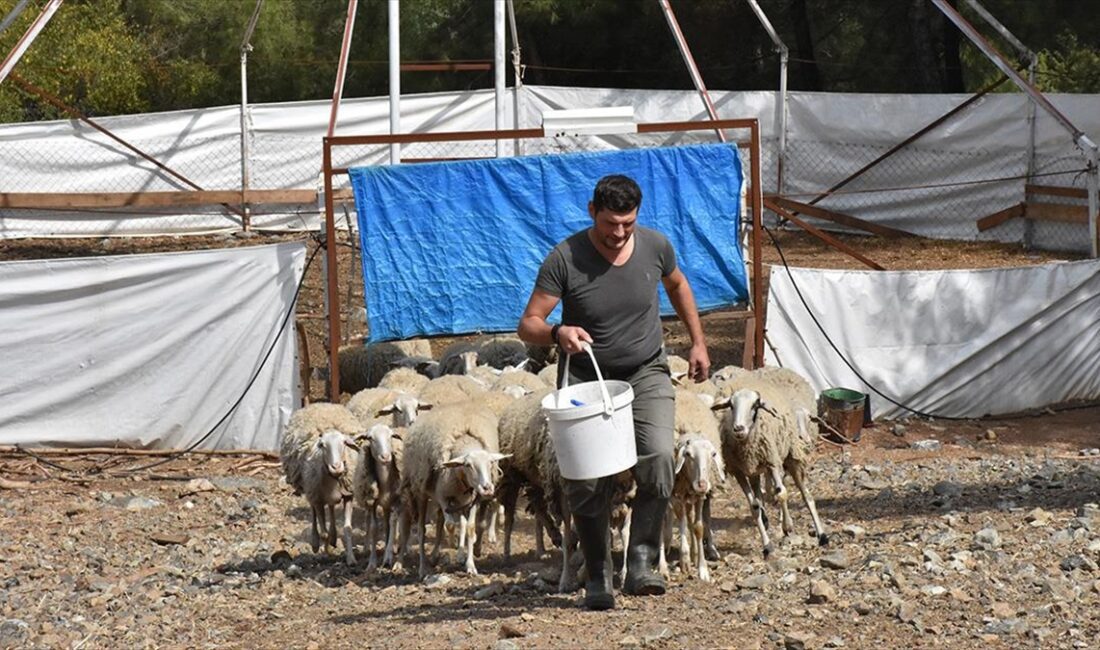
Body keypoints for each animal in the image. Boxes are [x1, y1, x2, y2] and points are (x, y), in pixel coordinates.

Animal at [277, 404, 363, 567]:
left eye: (344, 443)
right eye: (323, 445)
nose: (336, 467)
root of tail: (319, 404)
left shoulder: (349, 495)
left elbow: (348, 529)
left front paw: (351, 558)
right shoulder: (317, 498)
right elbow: (323, 532)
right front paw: (327, 553)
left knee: (331, 507)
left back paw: (334, 537)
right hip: (309, 489)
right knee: (314, 514)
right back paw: (316, 543)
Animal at [402, 402, 508, 580]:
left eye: (490, 463)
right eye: (468, 465)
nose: (487, 488)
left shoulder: (472, 501)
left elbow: (470, 528)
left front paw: (470, 565)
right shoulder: (443, 497)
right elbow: (451, 525)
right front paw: (453, 545)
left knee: (440, 521)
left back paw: (436, 555)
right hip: (422, 493)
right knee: (423, 531)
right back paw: (423, 567)